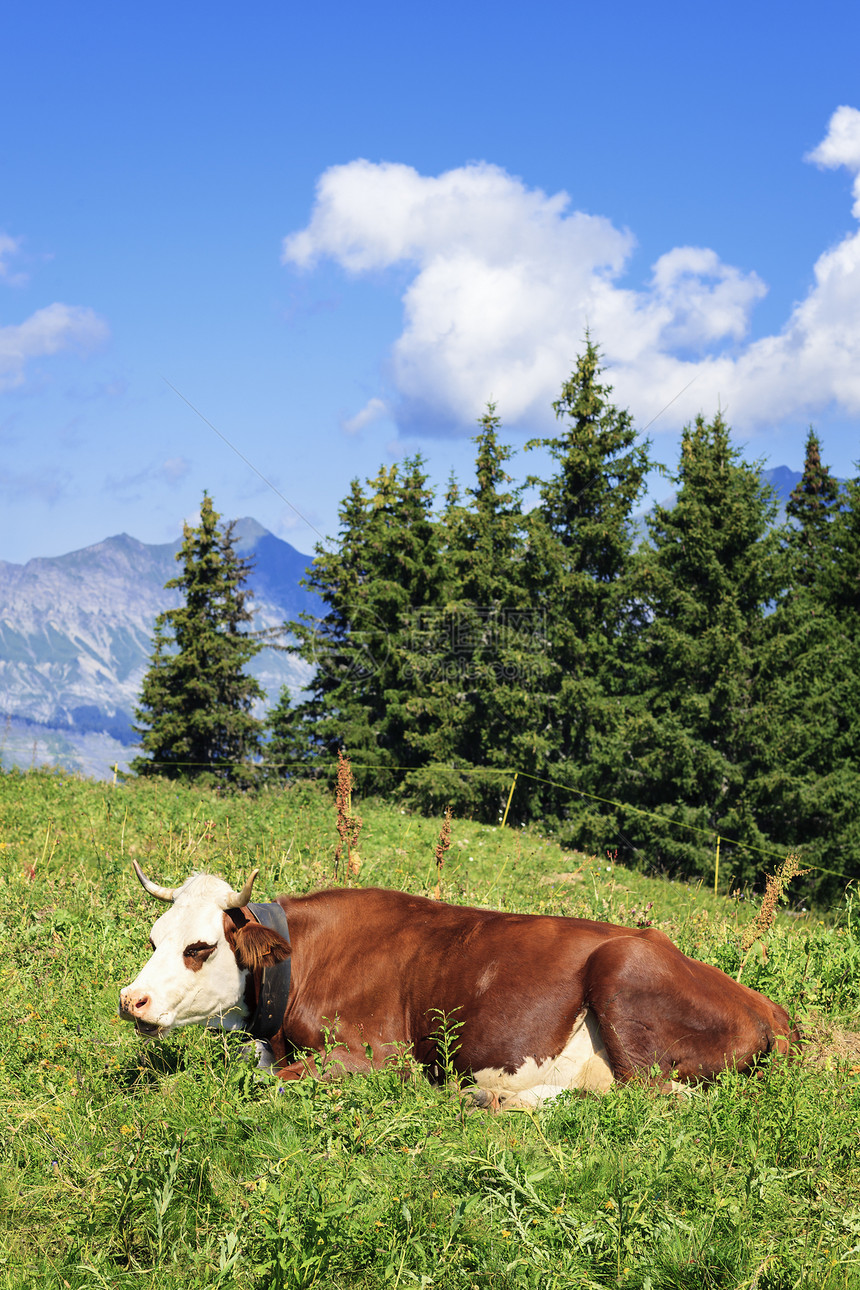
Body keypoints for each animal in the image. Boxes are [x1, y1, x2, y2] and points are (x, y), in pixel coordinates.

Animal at [116, 861, 799, 1104]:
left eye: (200, 947)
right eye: (153, 938)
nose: (131, 1000)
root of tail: (767, 1005)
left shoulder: (380, 1057)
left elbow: (269, 1086)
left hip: (624, 977)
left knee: (653, 1101)